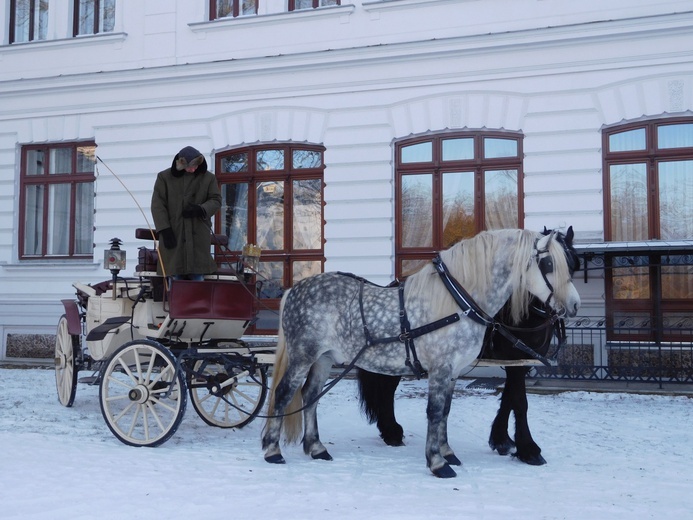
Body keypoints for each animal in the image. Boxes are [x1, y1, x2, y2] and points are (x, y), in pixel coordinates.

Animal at [356, 225, 580, 466]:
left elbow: (509, 397)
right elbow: (520, 401)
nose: (574, 305)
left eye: (573, 265)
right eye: (549, 265)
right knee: (388, 388)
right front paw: (528, 448)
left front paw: (502, 439)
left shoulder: (520, 362)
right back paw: (391, 431)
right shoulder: (515, 362)